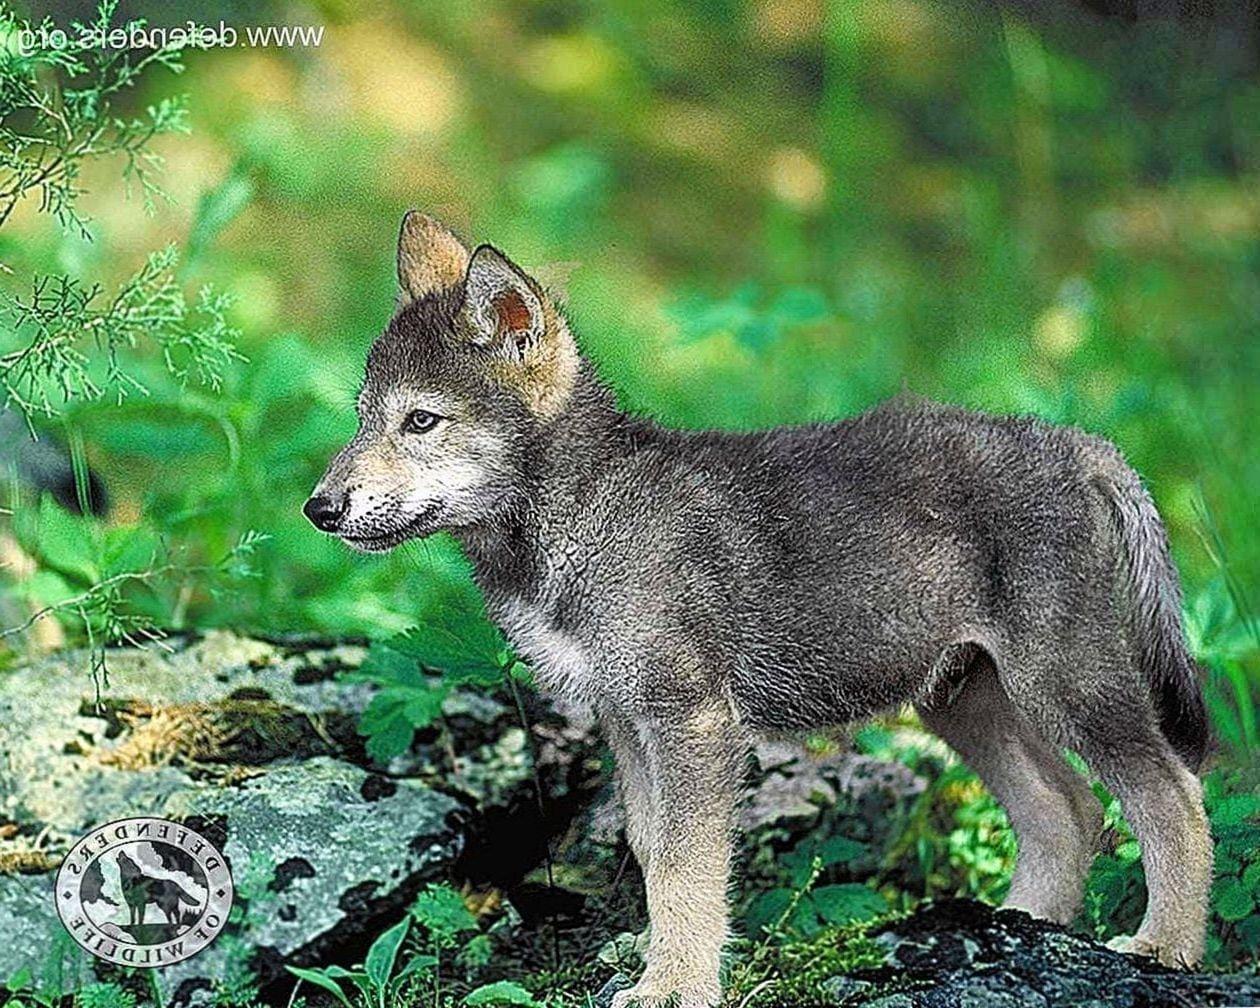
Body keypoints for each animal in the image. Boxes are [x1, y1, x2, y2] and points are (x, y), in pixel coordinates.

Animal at [306, 213, 1212, 1007]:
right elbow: (654, 855)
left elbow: (689, 866)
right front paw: (658, 960)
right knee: (1067, 809)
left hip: (1063, 679)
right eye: (361, 419)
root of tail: (1076, 444)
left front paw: (674, 987)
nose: (319, 508)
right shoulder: (626, 720)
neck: (580, 519)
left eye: (421, 420)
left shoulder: (691, 720)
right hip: (962, 696)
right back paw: (1016, 927)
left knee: (1172, 793)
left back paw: (1164, 945)